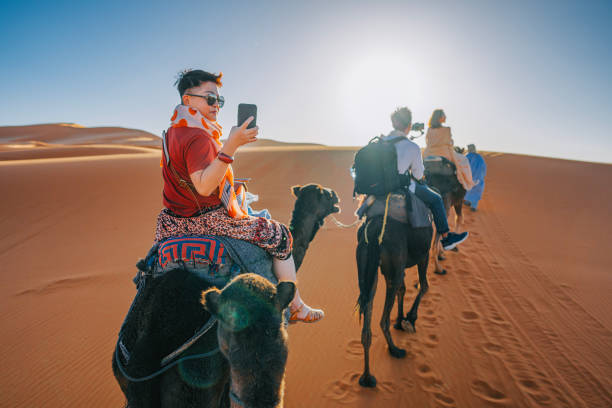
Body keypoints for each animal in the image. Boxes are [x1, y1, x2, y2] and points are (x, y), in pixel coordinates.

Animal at [356, 209, 432, 388]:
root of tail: (374, 231)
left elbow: (403, 290)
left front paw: (399, 321)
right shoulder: (424, 254)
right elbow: (424, 286)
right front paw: (410, 319)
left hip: (369, 272)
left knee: (367, 323)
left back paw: (367, 378)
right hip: (393, 269)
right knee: (383, 320)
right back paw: (395, 350)